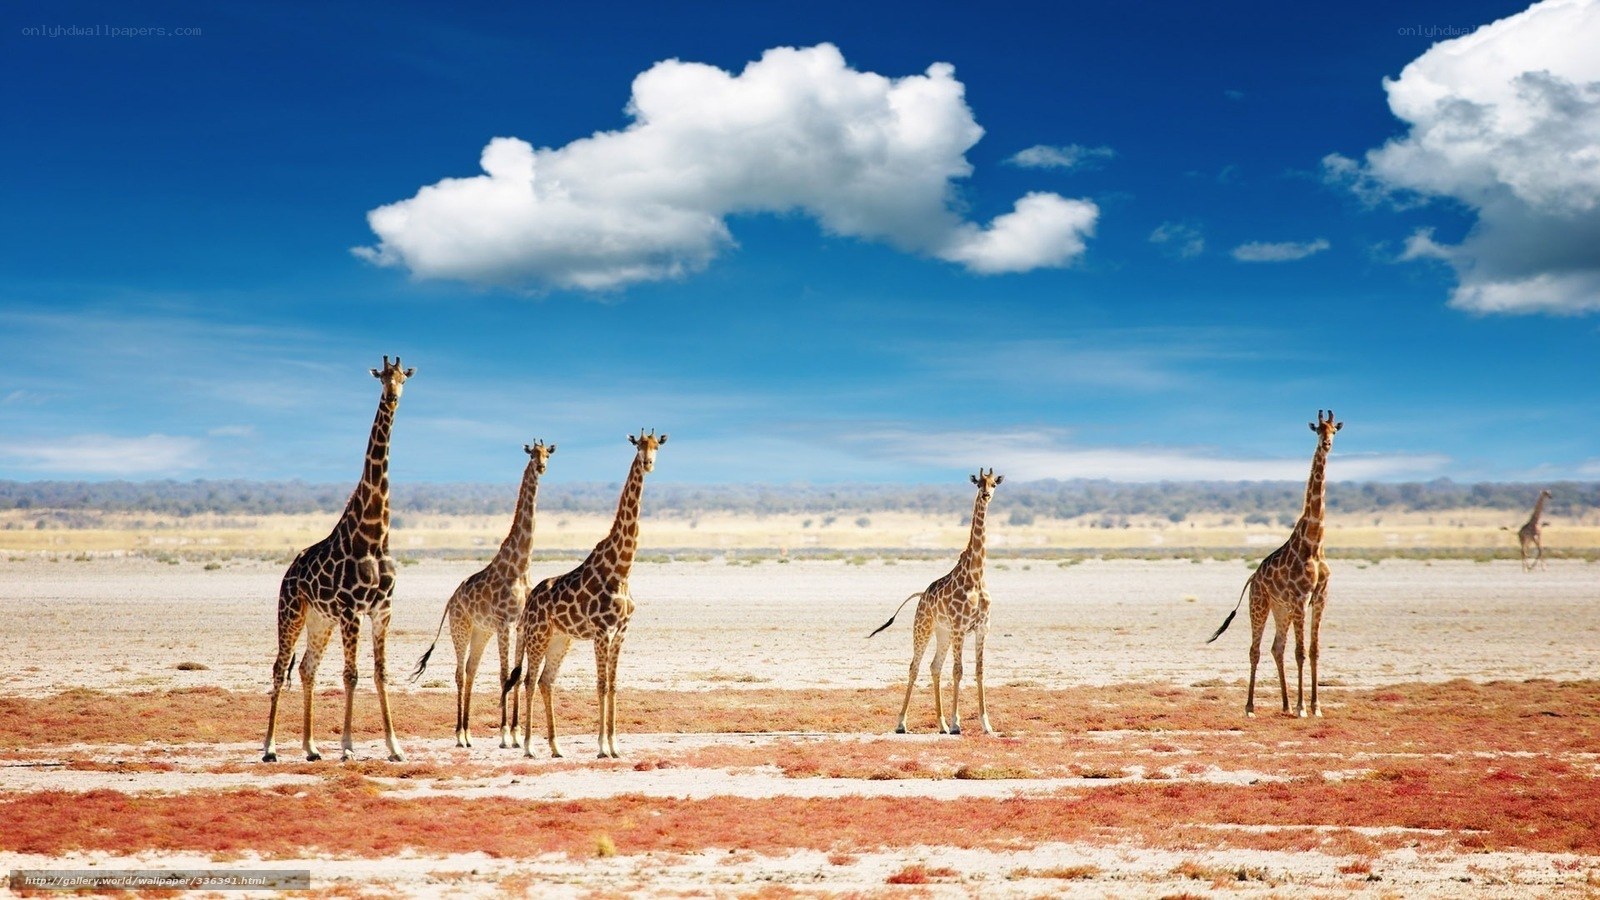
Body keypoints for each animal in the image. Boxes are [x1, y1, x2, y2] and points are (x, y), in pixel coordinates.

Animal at [263, 356, 413, 762]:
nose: (392, 397)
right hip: (292, 611)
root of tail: (288, 572)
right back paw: (269, 748)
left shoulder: (382, 610)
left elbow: (379, 673)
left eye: (403, 378)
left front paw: (395, 747)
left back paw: (311, 747)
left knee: (306, 668)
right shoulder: (351, 610)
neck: (374, 535)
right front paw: (347, 746)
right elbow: (351, 675)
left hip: (320, 620)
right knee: (280, 666)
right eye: (381, 378)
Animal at [411, 441, 555, 748]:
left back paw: (467, 733)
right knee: (459, 673)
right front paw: (503, 734)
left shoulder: (520, 625)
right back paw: (459, 734)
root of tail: (450, 601)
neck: (520, 566)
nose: (541, 467)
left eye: (548, 454)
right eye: (532, 454)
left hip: (481, 632)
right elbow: (503, 674)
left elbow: (517, 675)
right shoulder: (505, 623)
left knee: (470, 670)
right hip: (461, 627)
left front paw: (515, 732)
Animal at [504, 430, 666, 759]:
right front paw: (603, 746)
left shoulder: (620, 632)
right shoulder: (602, 631)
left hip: (560, 639)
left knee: (546, 681)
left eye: (657, 446)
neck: (622, 569)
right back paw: (529, 746)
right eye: (638, 446)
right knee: (529, 680)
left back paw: (556, 747)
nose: (648, 463)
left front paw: (616, 745)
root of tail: (529, 604)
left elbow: (613, 685)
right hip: (538, 635)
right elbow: (601, 684)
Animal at [869, 468, 1003, 735]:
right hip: (923, 627)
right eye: (979, 484)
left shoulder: (982, 628)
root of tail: (921, 595)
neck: (976, 576)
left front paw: (986, 724)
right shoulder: (961, 627)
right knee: (915, 666)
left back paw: (940, 724)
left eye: (994, 484)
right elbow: (958, 671)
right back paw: (902, 723)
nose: (986, 495)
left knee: (934, 666)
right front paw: (956, 724)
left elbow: (980, 671)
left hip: (943, 633)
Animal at [1208, 410, 1341, 718]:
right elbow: (1300, 652)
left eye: (1335, 430)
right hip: (1260, 604)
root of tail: (1253, 577)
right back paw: (1250, 707)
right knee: (1255, 650)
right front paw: (1303, 707)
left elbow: (1314, 651)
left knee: (1276, 648)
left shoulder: (1320, 598)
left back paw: (1284, 704)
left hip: (1281, 609)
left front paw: (1315, 707)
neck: (1314, 543)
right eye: (1318, 430)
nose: (1327, 444)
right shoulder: (1301, 598)